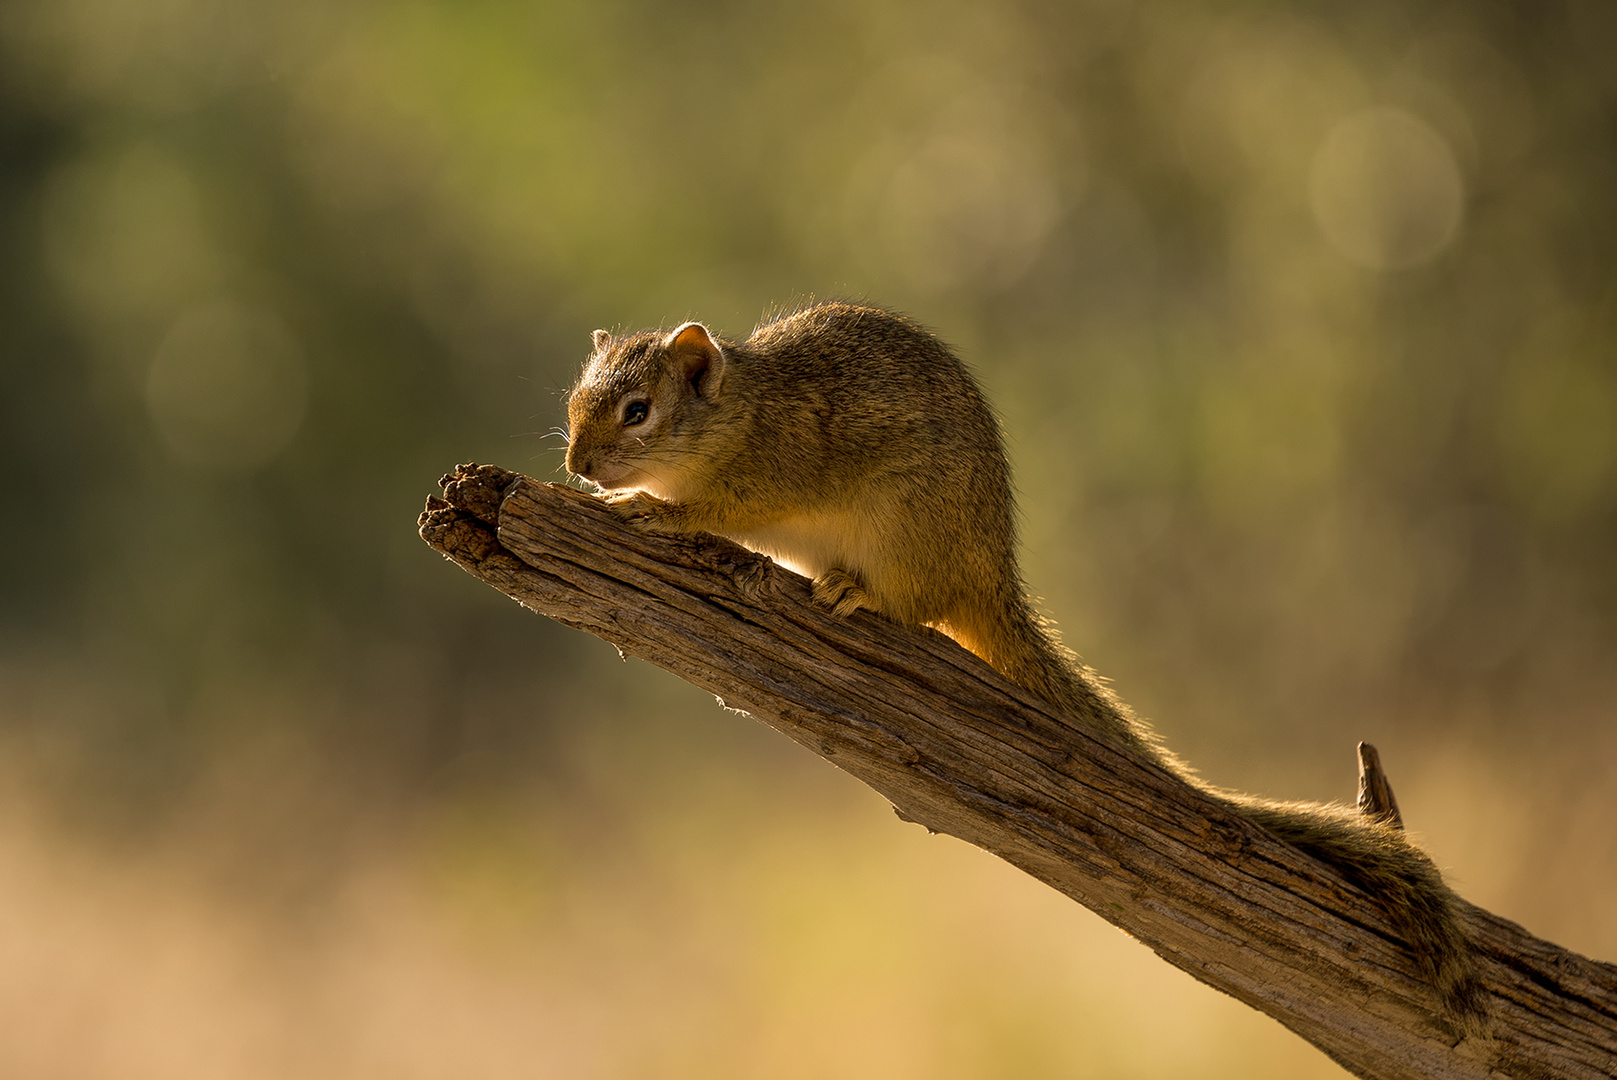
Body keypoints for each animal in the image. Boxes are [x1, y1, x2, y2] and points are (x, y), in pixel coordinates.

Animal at [562, 302, 1481, 1028]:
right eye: (575, 402)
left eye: (638, 410)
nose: (575, 465)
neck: (739, 413)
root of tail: (990, 577)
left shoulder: (766, 478)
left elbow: (710, 511)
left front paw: (648, 506)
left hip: (904, 531)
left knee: (916, 607)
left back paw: (853, 592)